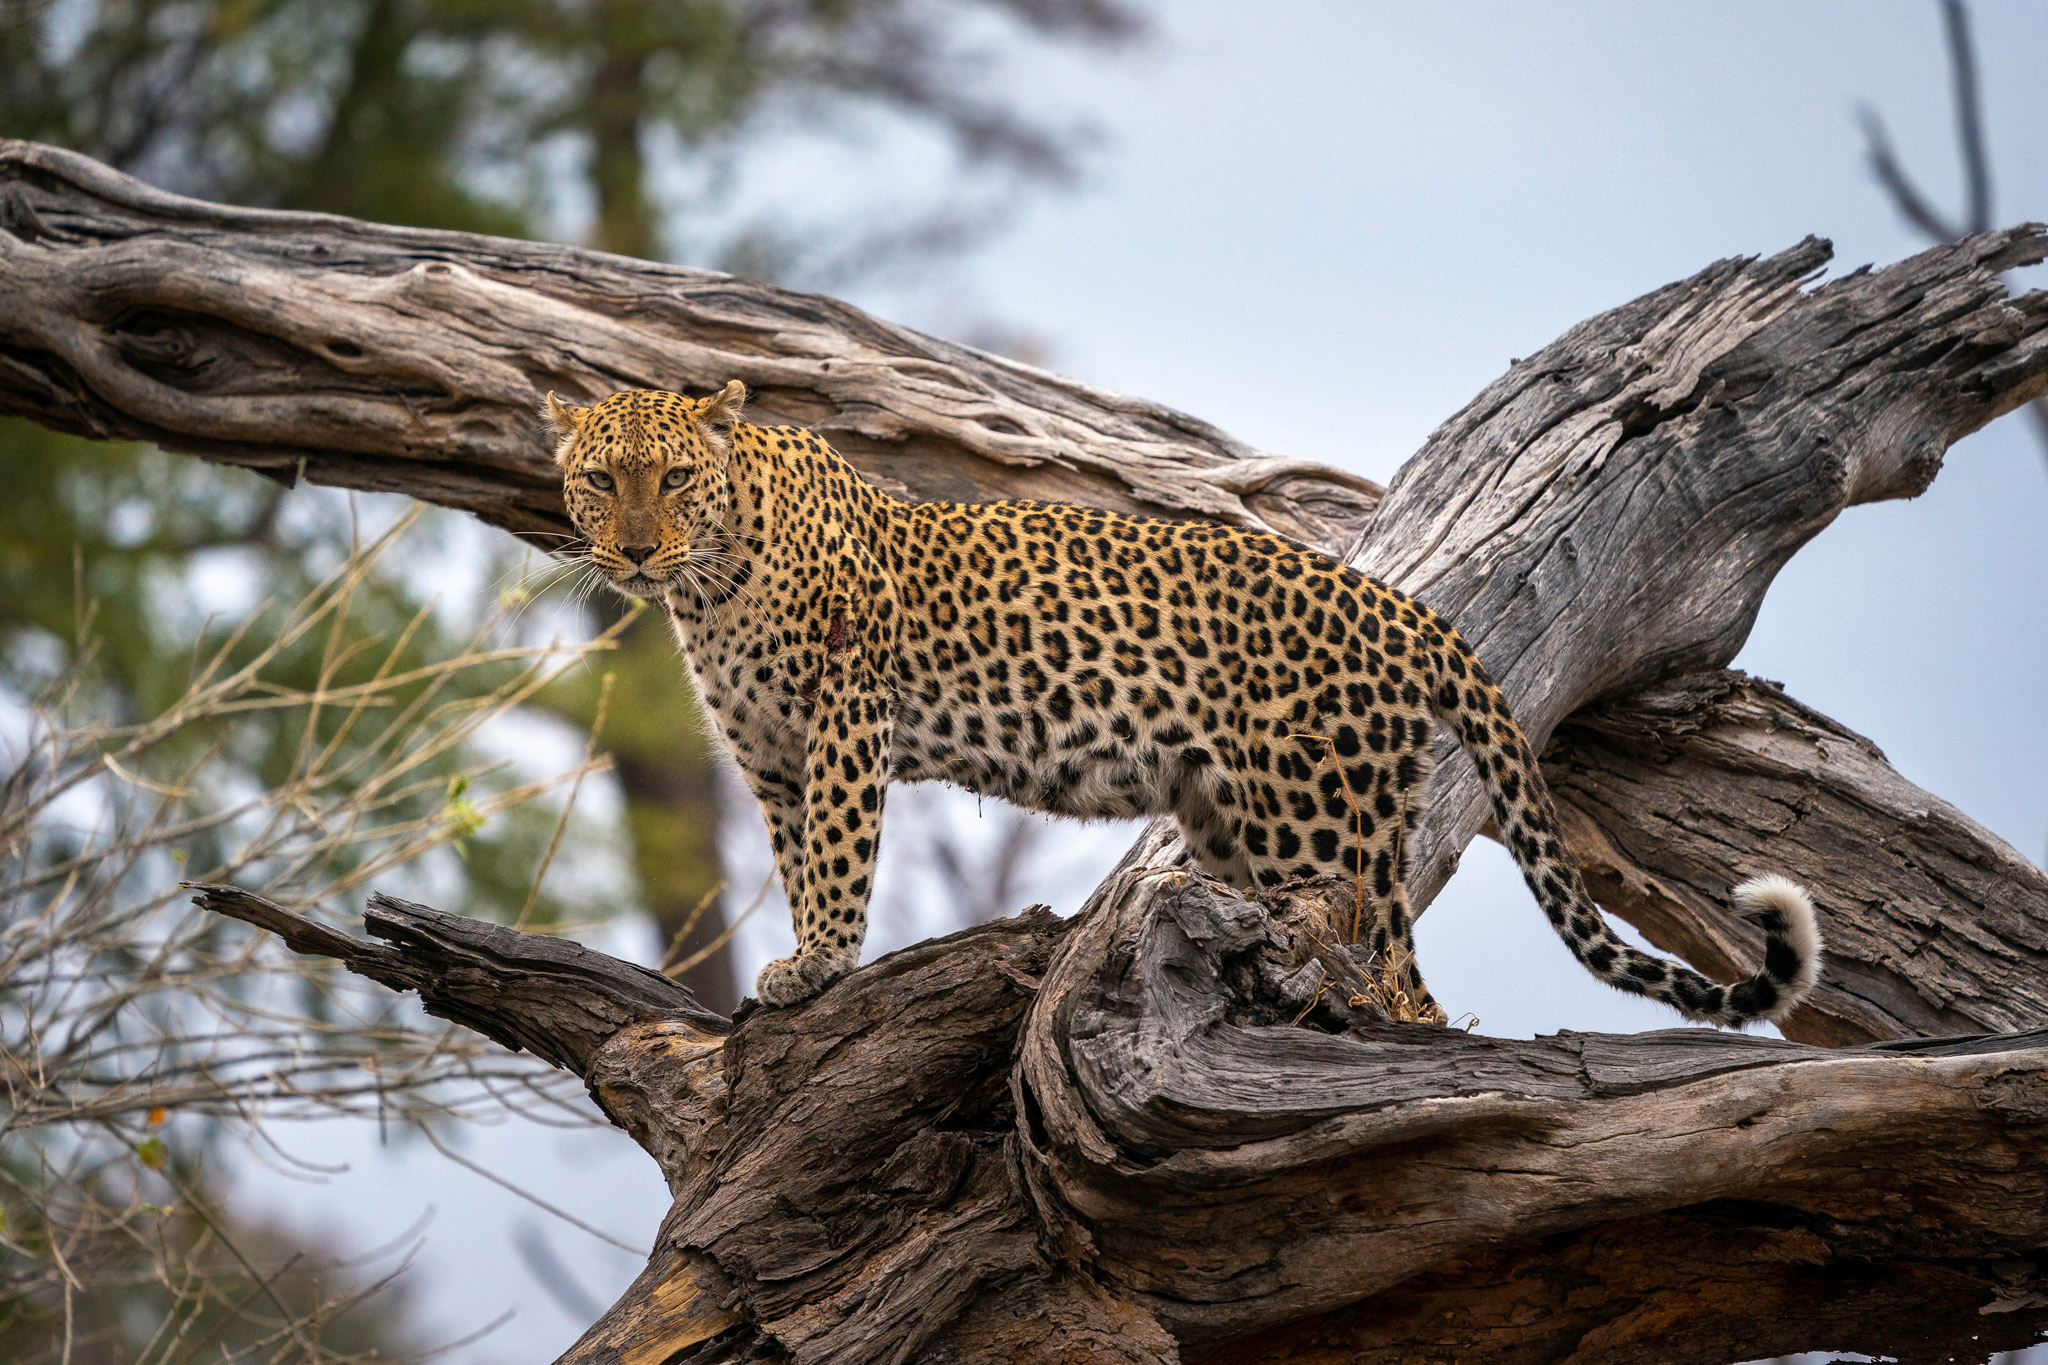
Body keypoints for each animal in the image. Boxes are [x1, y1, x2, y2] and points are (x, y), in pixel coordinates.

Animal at [546, 382, 1823, 1026]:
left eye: (676, 477)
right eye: (600, 478)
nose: (634, 548)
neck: (709, 583)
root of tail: (1397, 605)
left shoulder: (843, 724)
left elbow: (836, 857)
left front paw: (815, 964)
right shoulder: (767, 756)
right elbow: (796, 851)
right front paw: (804, 960)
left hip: (1321, 828)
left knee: (1398, 989)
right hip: (1241, 823)